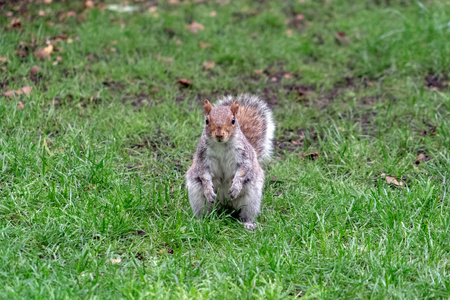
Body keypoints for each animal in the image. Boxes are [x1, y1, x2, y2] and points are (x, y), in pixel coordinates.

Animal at [185, 94, 274, 230]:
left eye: (233, 121)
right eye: (207, 121)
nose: (219, 135)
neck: (222, 145)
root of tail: (224, 200)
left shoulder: (244, 156)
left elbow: (243, 170)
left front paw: (235, 187)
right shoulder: (202, 157)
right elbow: (204, 174)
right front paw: (208, 190)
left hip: (251, 197)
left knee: (247, 212)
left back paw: (248, 223)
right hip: (197, 195)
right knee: (204, 209)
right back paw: (201, 220)